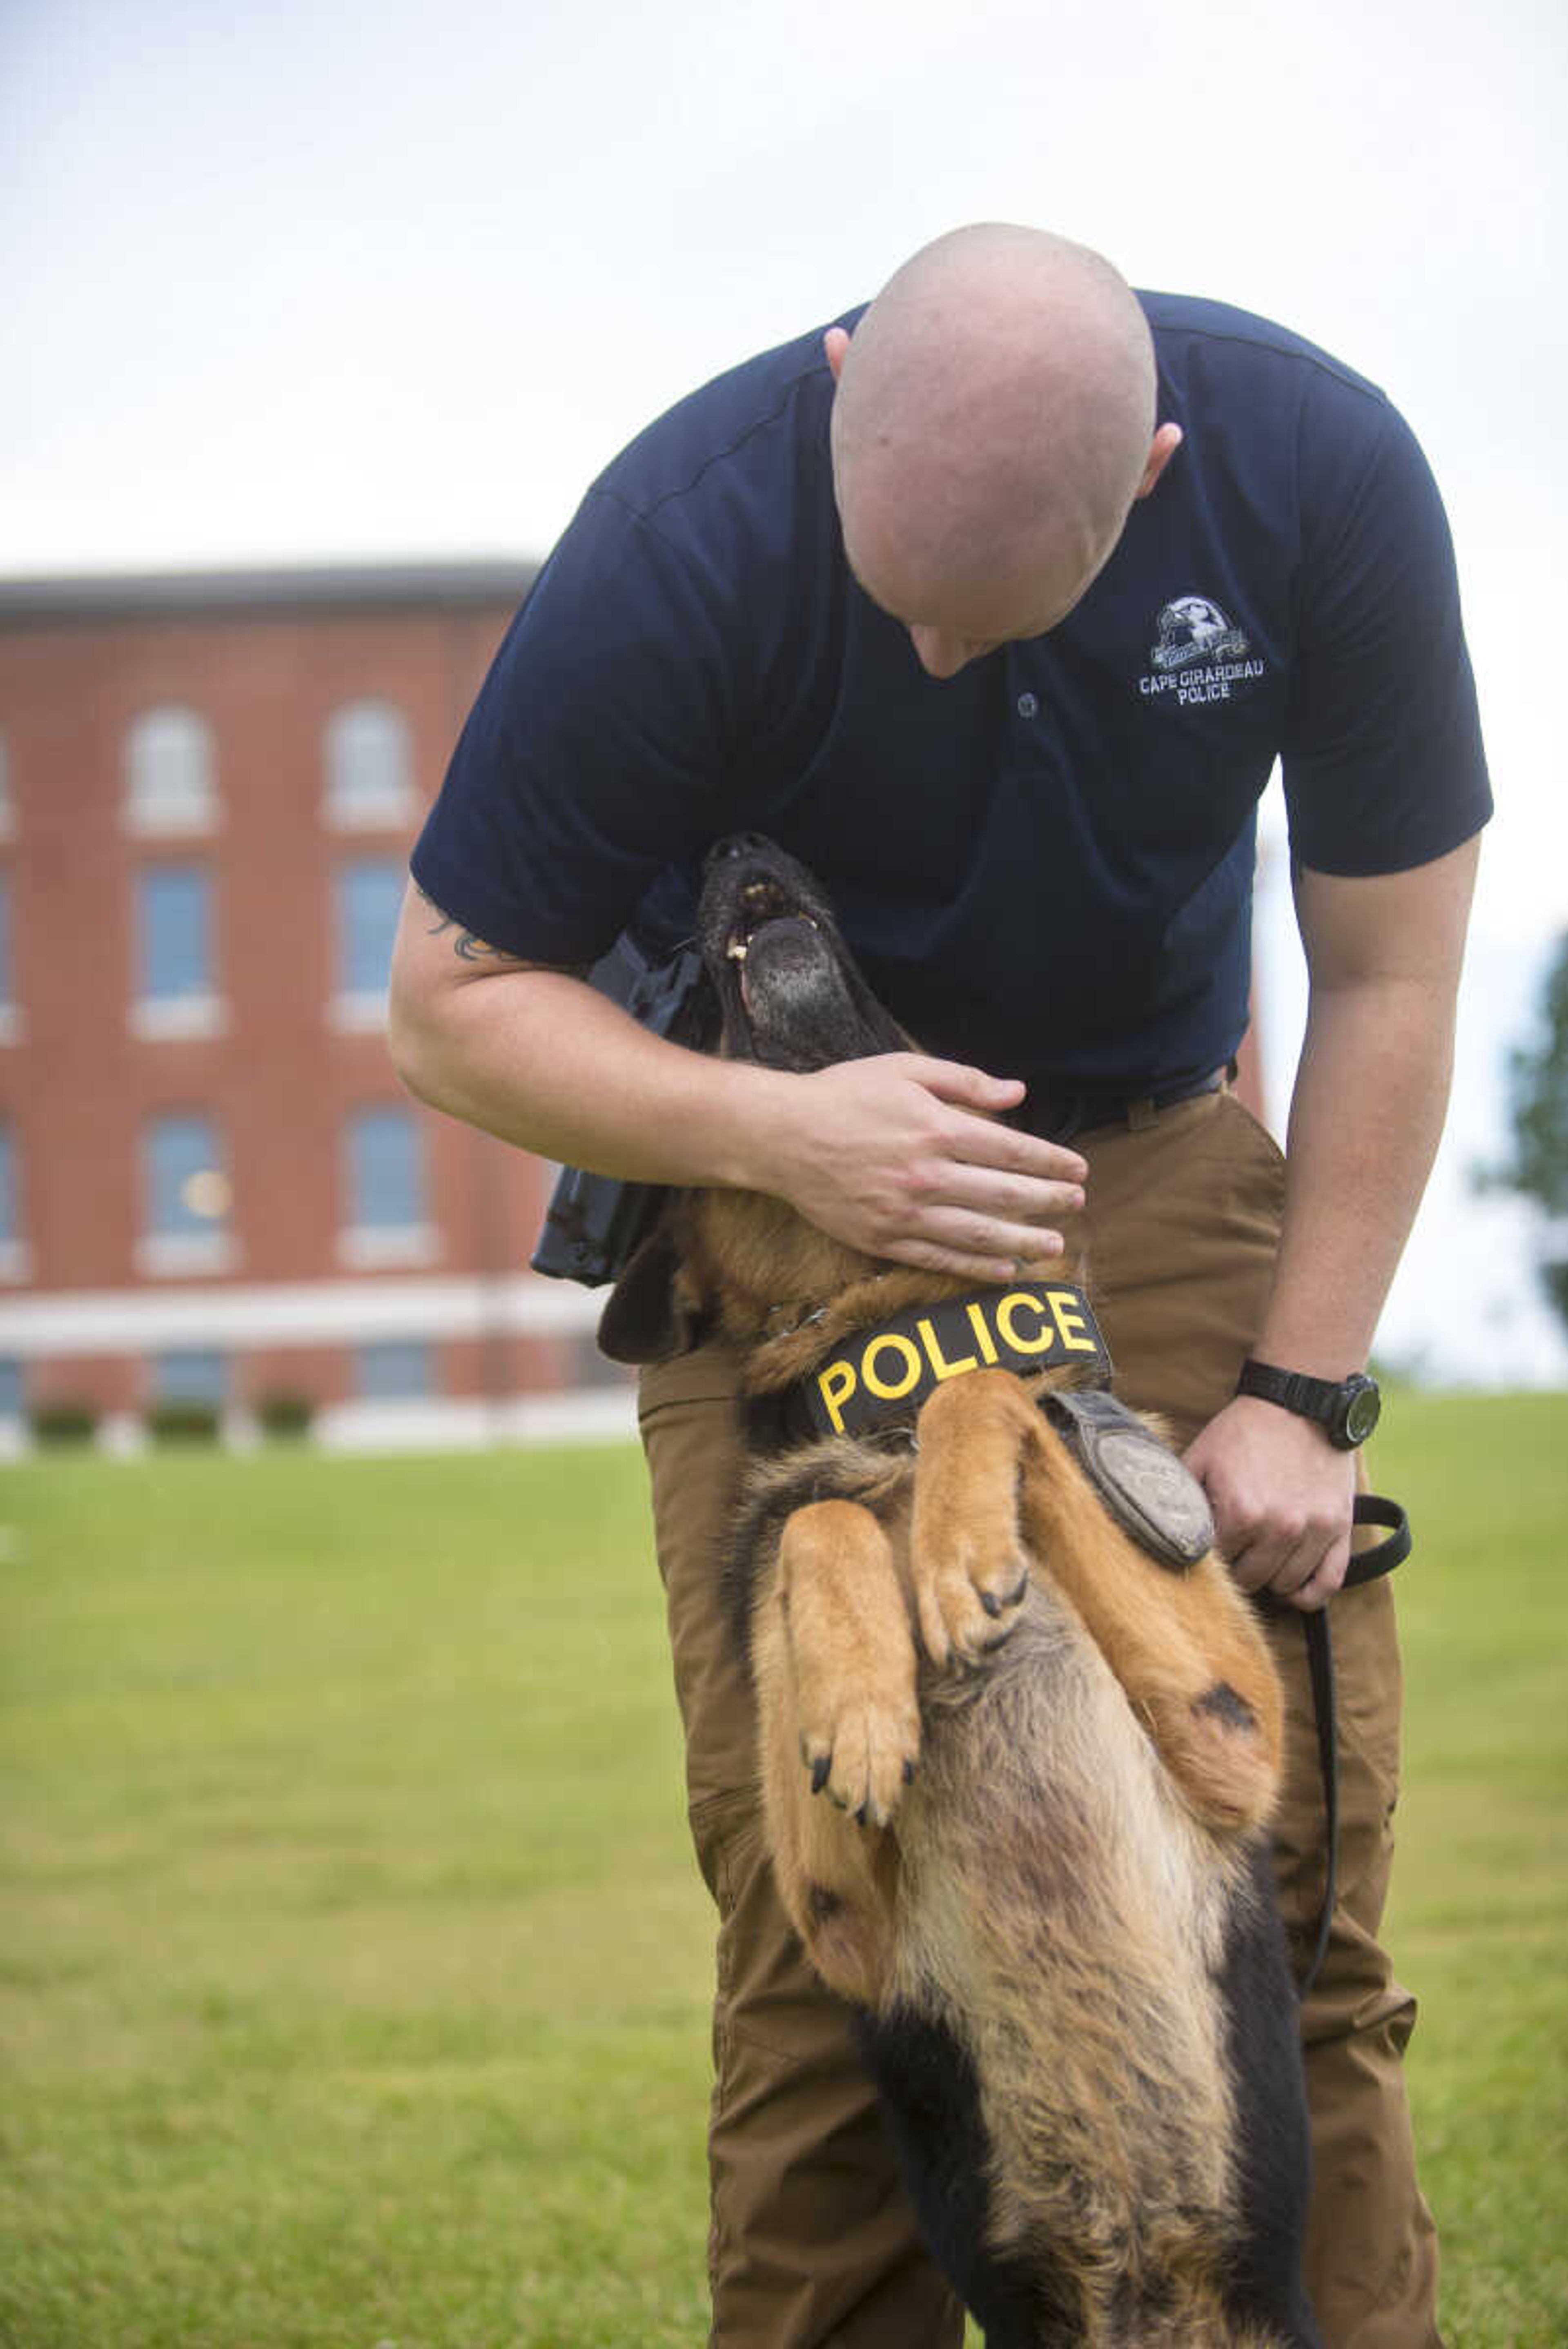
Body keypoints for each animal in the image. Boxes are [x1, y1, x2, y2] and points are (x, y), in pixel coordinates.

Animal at [601, 836, 1326, 2339]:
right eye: (690, 1022)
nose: (740, 845)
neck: (880, 1359)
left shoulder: (1234, 1735)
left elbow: (985, 1389)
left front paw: (956, 1553)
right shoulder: (843, 1927)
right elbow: (815, 1519)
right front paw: (868, 1700)